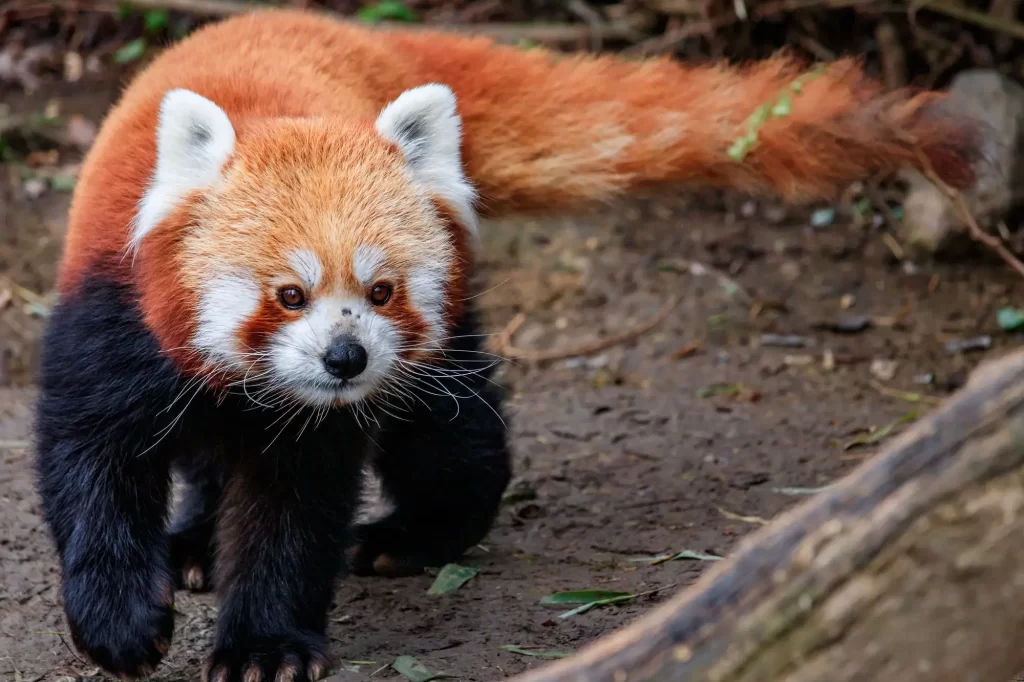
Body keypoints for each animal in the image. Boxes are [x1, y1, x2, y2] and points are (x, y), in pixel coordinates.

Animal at [36, 7, 978, 679]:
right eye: (290, 295)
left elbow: (296, 509)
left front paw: (266, 648)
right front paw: (121, 623)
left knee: (452, 430)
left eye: (380, 291)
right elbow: (90, 467)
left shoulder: (325, 410)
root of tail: (334, 28)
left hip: (437, 339)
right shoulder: (114, 323)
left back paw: (417, 533)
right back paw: (196, 540)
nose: (346, 360)